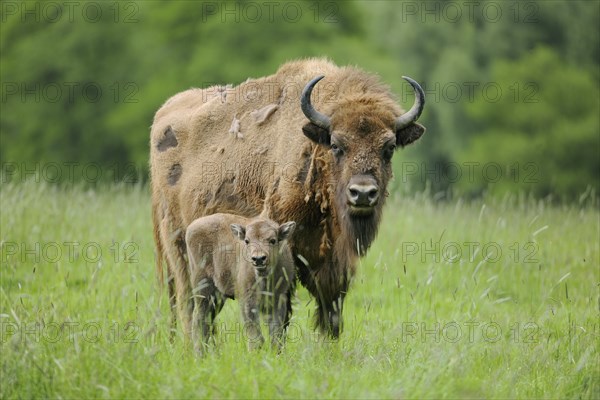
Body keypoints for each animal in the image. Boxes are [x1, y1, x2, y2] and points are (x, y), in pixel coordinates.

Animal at [183, 214, 296, 352]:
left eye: (273, 240)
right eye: (247, 241)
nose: (258, 259)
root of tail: (192, 226)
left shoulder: (278, 301)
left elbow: (276, 335)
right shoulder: (248, 302)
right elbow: (255, 335)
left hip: (217, 297)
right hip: (203, 290)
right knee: (199, 319)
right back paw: (200, 353)